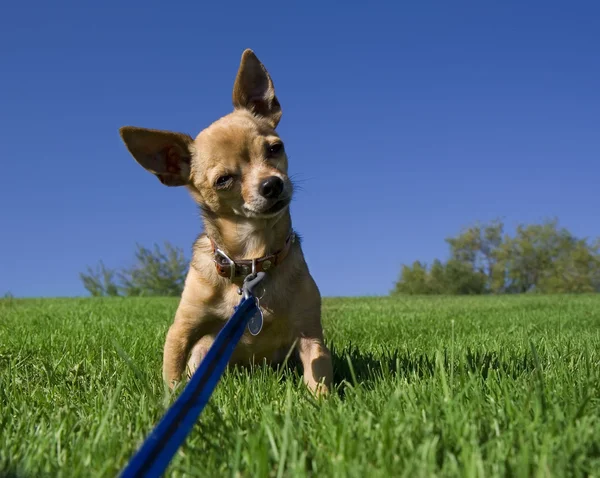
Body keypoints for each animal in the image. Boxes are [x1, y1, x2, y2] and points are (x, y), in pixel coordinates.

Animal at [117, 48, 332, 396]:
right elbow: (172, 376)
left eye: (275, 148)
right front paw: (169, 399)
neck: (251, 258)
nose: (271, 185)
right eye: (223, 180)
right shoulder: (182, 331)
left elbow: (318, 376)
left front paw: (322, 404)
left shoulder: (309, 334)